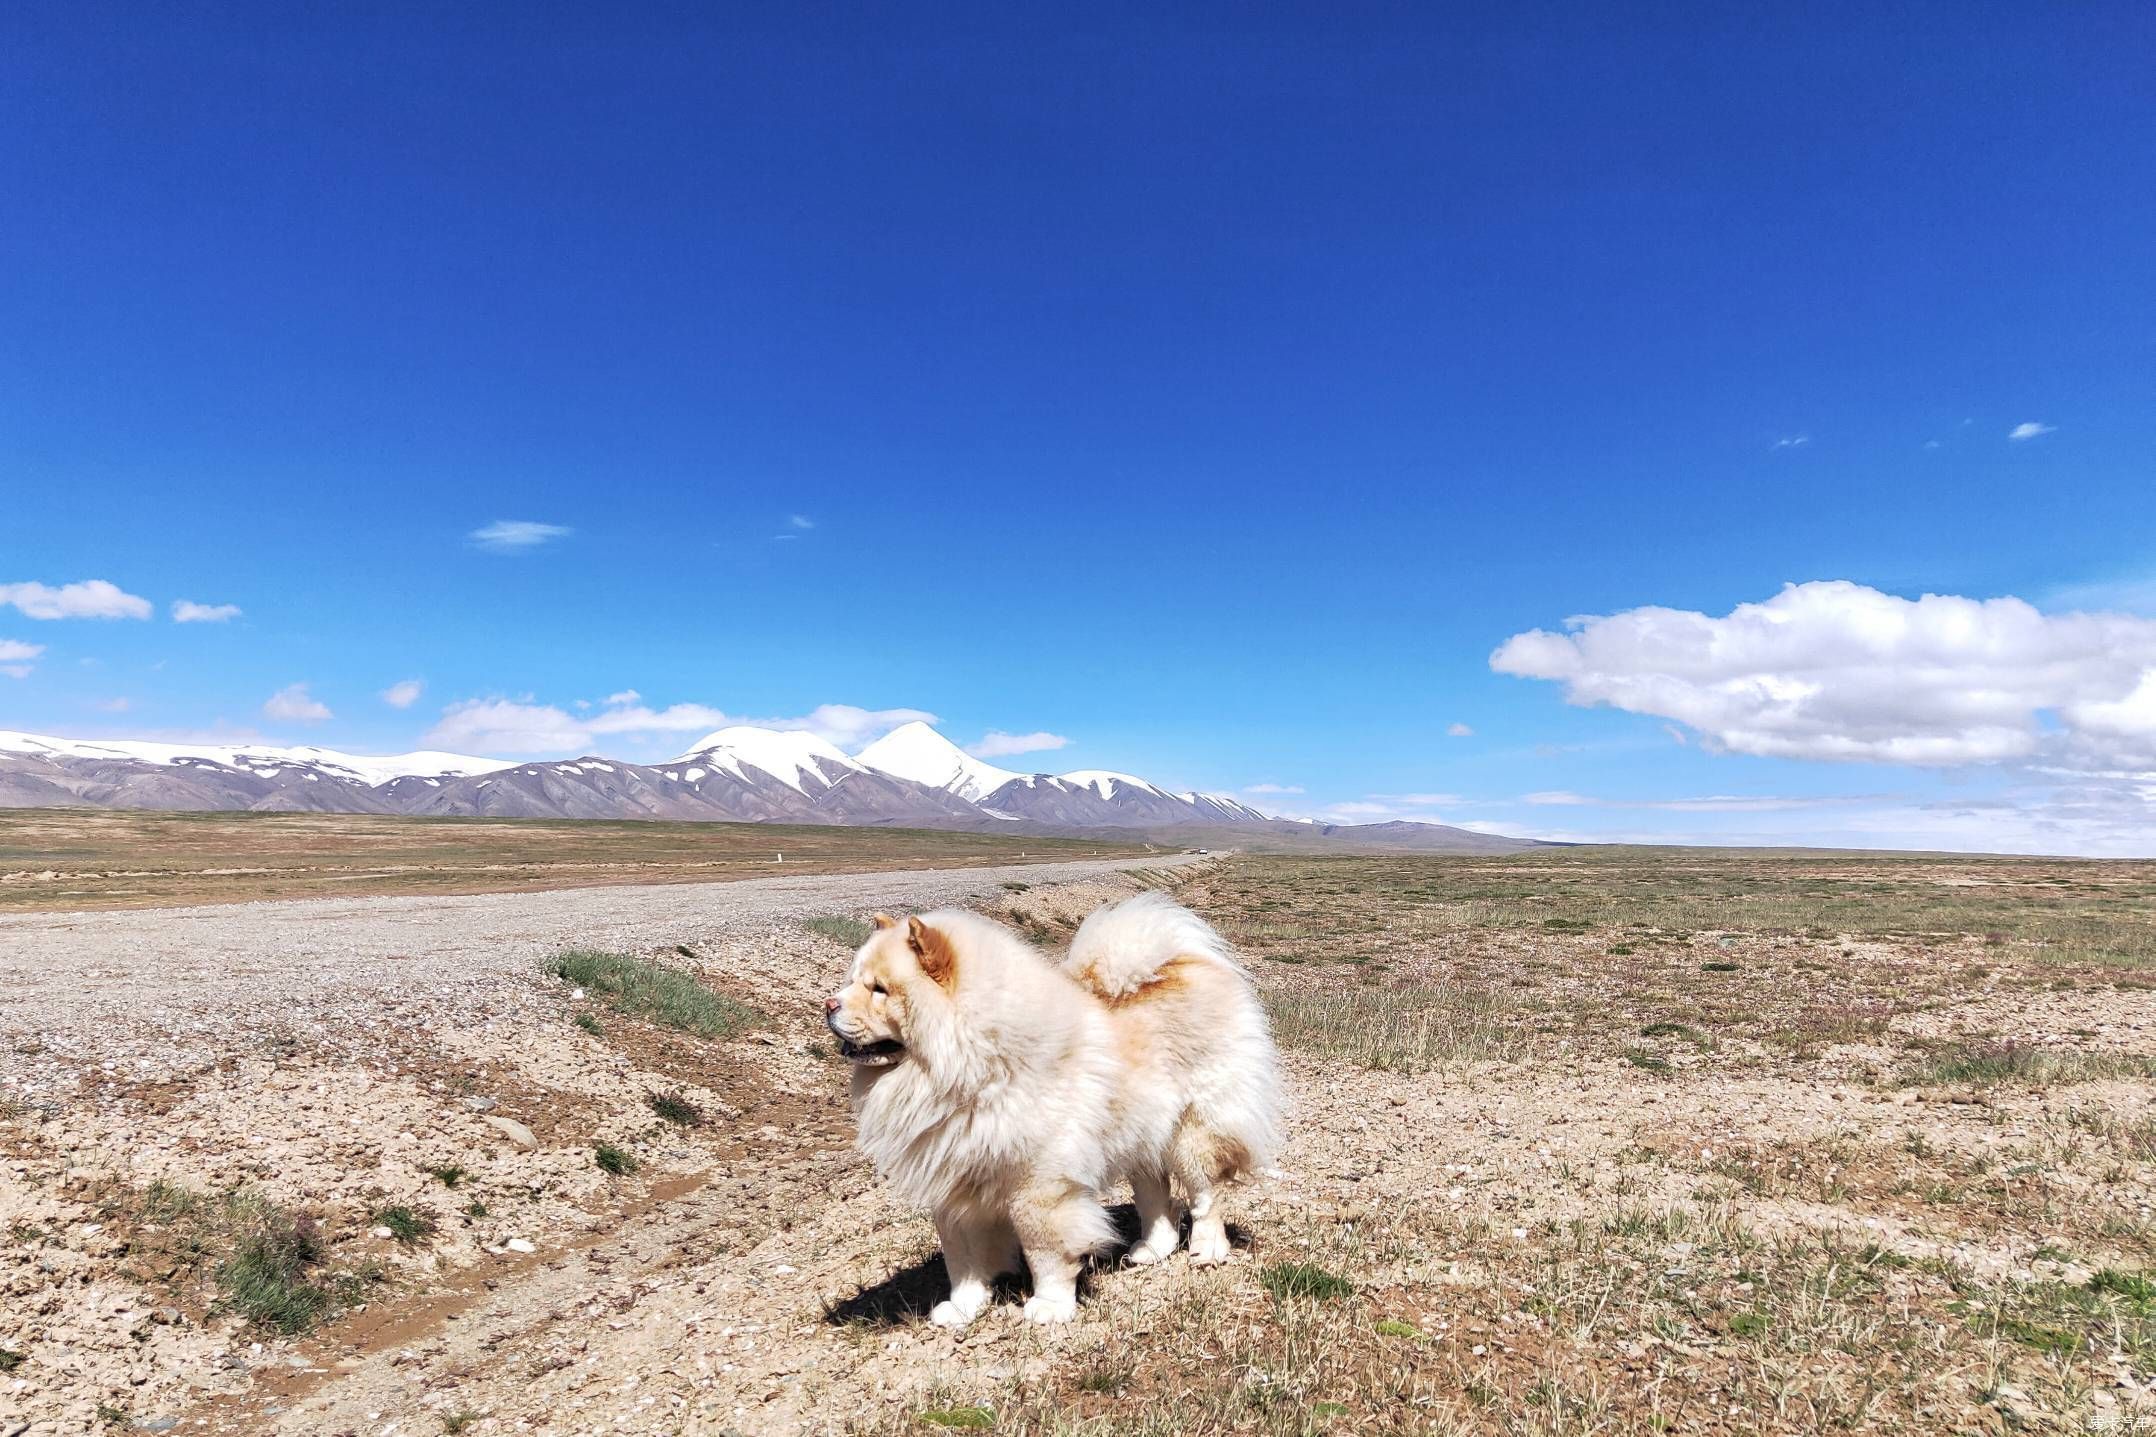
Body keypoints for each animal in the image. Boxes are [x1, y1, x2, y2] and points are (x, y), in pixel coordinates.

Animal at [823, 891, 1276, 1335]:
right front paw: (963, 1308)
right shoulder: (954, 1189)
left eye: (879, 989)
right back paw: (1150, 1250)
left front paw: (1049, 1307)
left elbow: (1043, 1249)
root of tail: (1189, 964)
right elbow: (963, 1259)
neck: (972, 1066)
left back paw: (1207, 1250)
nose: (829, 1003)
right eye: (852, 981)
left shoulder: (1039, 1186)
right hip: (1141, 1134)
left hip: (1192, 1133)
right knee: (1156, 1195)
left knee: (1205, 1195)